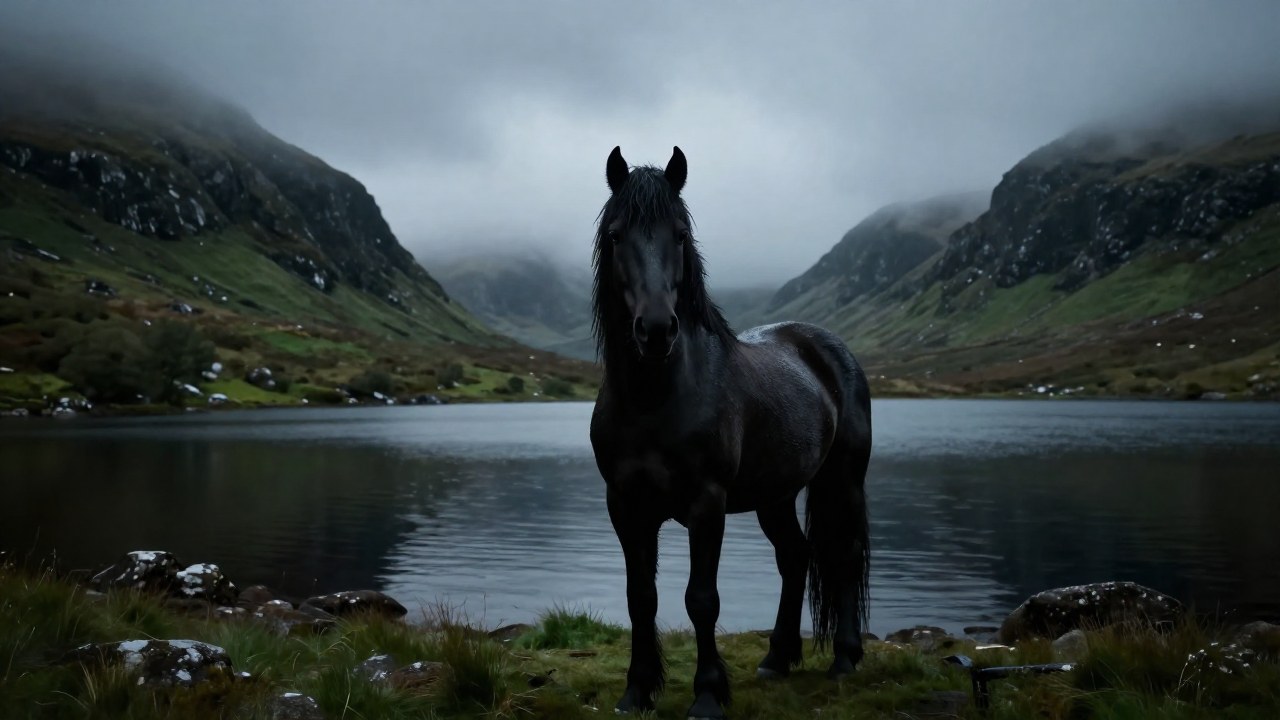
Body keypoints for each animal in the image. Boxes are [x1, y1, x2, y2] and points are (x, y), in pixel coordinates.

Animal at [588, 145, 873, 719]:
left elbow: (702, 600)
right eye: (616, 235)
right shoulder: (624, 503)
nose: (657, 329)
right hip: (776, 494)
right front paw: (636, 690)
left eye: (679, 234)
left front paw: (708, 694)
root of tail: (831, 349)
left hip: (844, 479)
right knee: (796, 557)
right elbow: (640, 598)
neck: (655, 399)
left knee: (844, 554)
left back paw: (844, 658)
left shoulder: (707, 503)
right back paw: (777, 659)